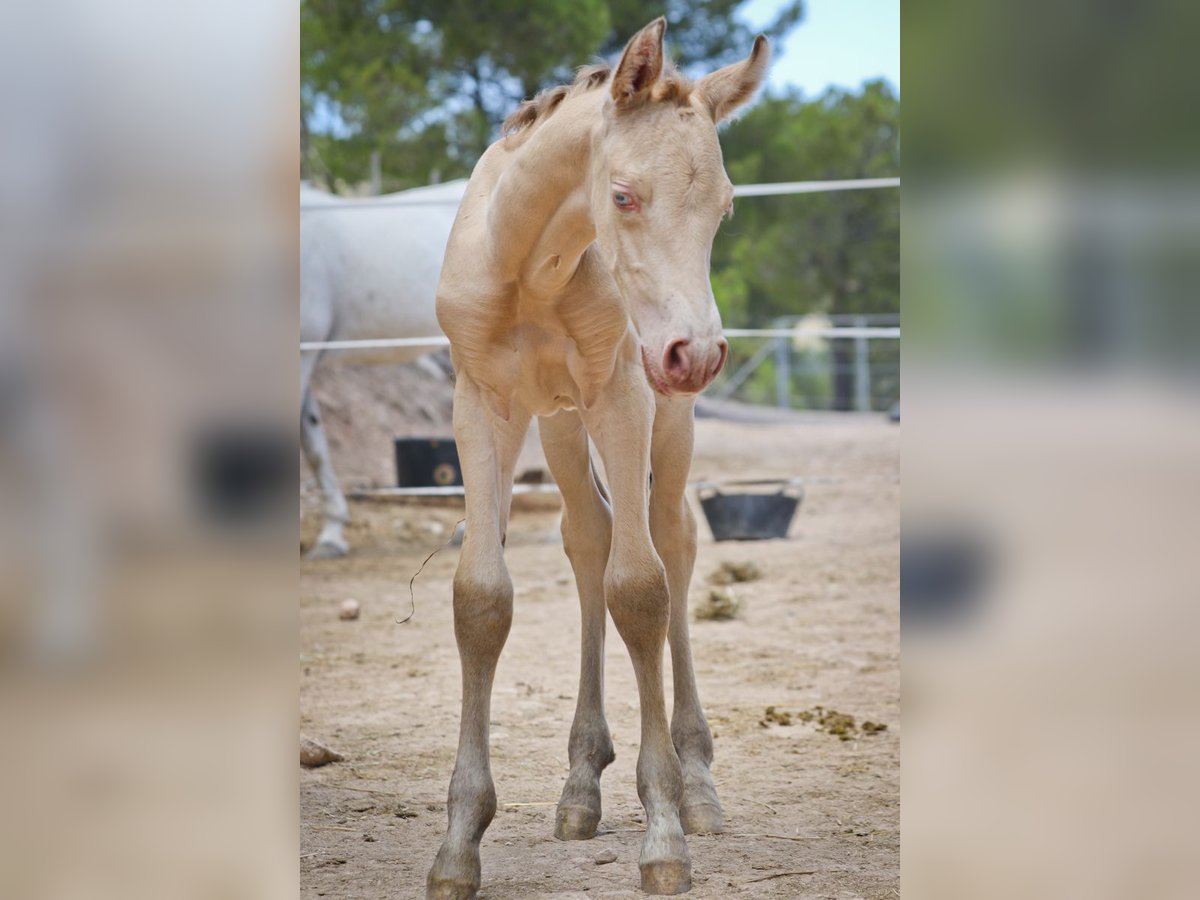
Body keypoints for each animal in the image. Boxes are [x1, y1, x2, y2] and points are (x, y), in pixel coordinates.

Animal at [429, 17, 768, 897]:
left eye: (724, 208)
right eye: (622, 195)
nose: (698, 353)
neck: (531, 267)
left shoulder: (623, 391)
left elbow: (642, 589)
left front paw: (665, 834)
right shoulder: (483, 402)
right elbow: (482, 598)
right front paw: (458, 845)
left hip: (664, 415)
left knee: (672, 541)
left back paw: (699, 785)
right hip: (559, 422)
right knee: (588, 538)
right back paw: (581, 785)